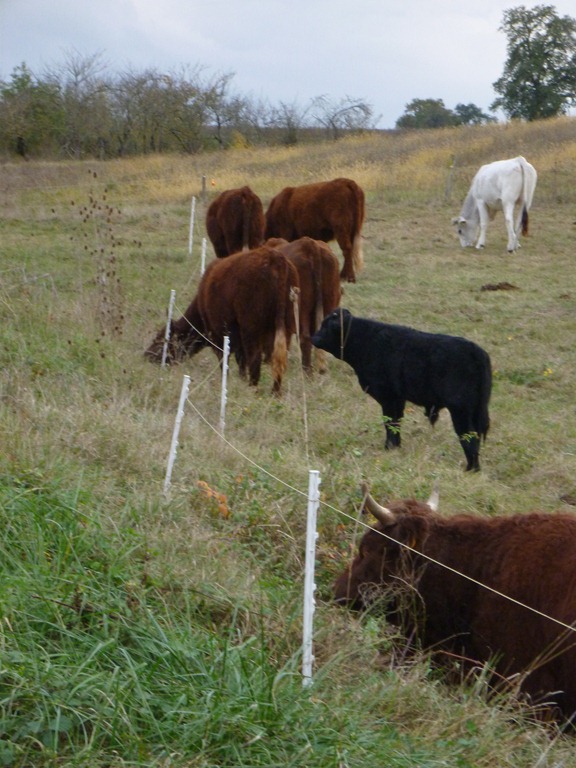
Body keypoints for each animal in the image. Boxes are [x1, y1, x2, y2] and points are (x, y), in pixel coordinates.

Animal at [145, 245, 299, 394]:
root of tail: (276, 259)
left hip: (251, 330)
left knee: (255, 359)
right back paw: (275, 392)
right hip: (286, 327)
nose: (146, 355)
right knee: (279, 359)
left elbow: (226, 363)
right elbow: (241, 362)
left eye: (161, 339)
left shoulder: (219, 338)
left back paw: (253, 389)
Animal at [311, 309, 491, 471]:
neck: (366, 341)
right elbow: (396, 423)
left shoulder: (388, 397)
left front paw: (389, 447)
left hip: (461, 409)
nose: (313, 337)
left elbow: (390, 422)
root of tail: (476, 351)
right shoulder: (398, 399)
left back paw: (471, 468)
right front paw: (395, 447)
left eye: (326, 326)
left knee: (468, 436)